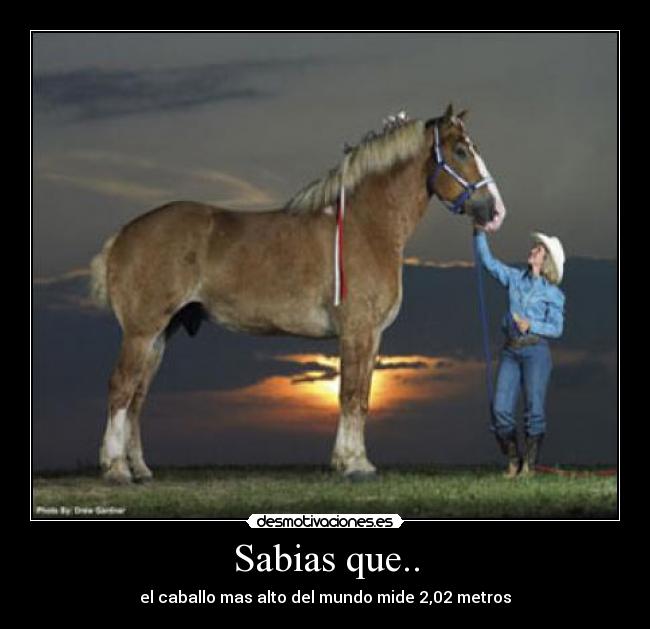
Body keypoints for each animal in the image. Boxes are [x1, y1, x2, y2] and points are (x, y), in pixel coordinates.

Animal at [89, 104, 506, 484]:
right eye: (461, 151)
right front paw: (353, 465)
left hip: (161, 334)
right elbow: (350, 394)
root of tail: (124, 234)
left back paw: (140, 469)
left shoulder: (372, 337)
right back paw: (115, 469)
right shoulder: (357, 332)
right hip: (141, 332)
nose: (495, 211)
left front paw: (353, 461)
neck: (367, 226)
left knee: (137, 397)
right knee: (121, 388)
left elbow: (363, 396)